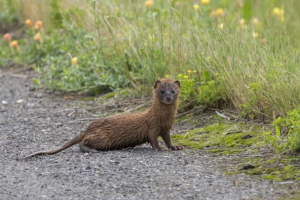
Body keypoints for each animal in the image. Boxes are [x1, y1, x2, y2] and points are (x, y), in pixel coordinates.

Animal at [25, 77, 184, 158]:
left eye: (173, 90)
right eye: (162, 91)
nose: (168, 98)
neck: (163, 118)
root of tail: (88, 128)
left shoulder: (167, 128)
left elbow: (168, 139)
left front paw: (176, 147)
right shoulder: (152, 126)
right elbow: (153, 139)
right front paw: (160, 149)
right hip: (102, 138)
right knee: (82, 143)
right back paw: (91, 150)